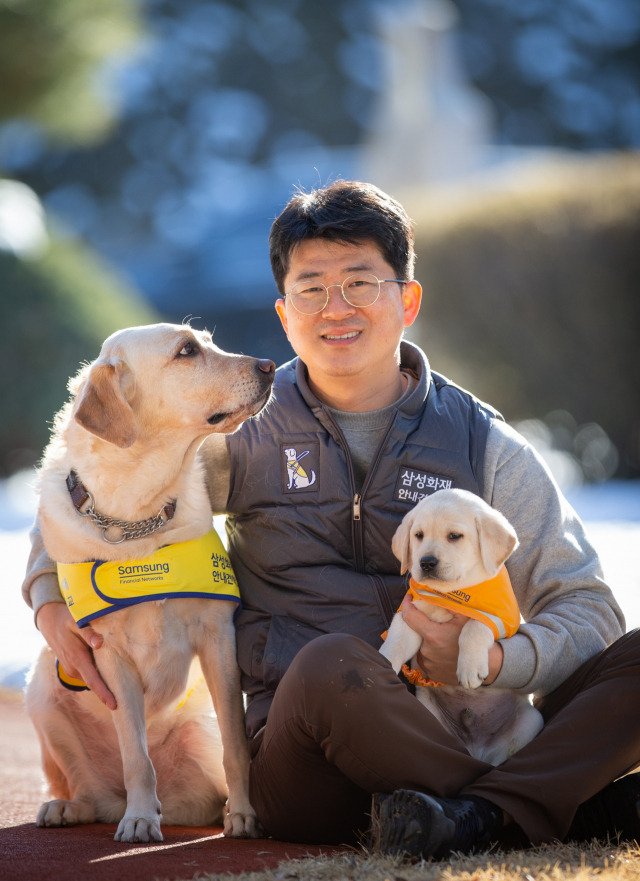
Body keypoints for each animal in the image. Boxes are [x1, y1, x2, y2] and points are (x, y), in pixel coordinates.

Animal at [26, 322, 276, 840]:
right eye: (186, 351)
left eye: (208, 341)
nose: (270, 366)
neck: (136, 517)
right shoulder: (109, 654)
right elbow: (136, 757)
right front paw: (140, 817)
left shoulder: (219, 638)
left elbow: (237, 745)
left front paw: (245, 813)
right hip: (40, 690)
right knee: (88, 788)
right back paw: (71, 807)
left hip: (197, 732)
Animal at [382, 488, 544, 764]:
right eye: (418, 535)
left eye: (454, 536)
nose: (426, 562)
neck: (451, 595)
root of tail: (476, 748)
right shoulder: (410, 615)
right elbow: (396, 642)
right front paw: (381, 661)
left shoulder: (502, 620)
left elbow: (474, 627)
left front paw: (469, 670)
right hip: (428, 711)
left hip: (530, 721)